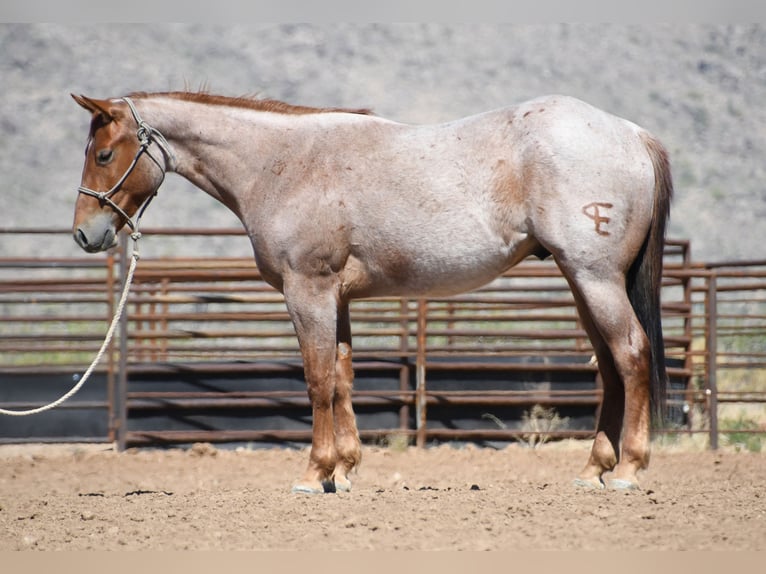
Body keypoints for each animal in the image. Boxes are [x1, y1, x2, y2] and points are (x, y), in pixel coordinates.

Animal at [71, 90, 672, 493]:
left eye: (103, 155)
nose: (84, 234)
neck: (283, 163)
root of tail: (630, 132)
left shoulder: (307, 292)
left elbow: (316, 380)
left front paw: (314, 472)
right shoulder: (335, 299)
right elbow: (341, 380)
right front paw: (344, 469)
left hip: (593, 278)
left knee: (630, 354)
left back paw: (629, 468)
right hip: (583, 282)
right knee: (609, 366)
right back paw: (594, 468)